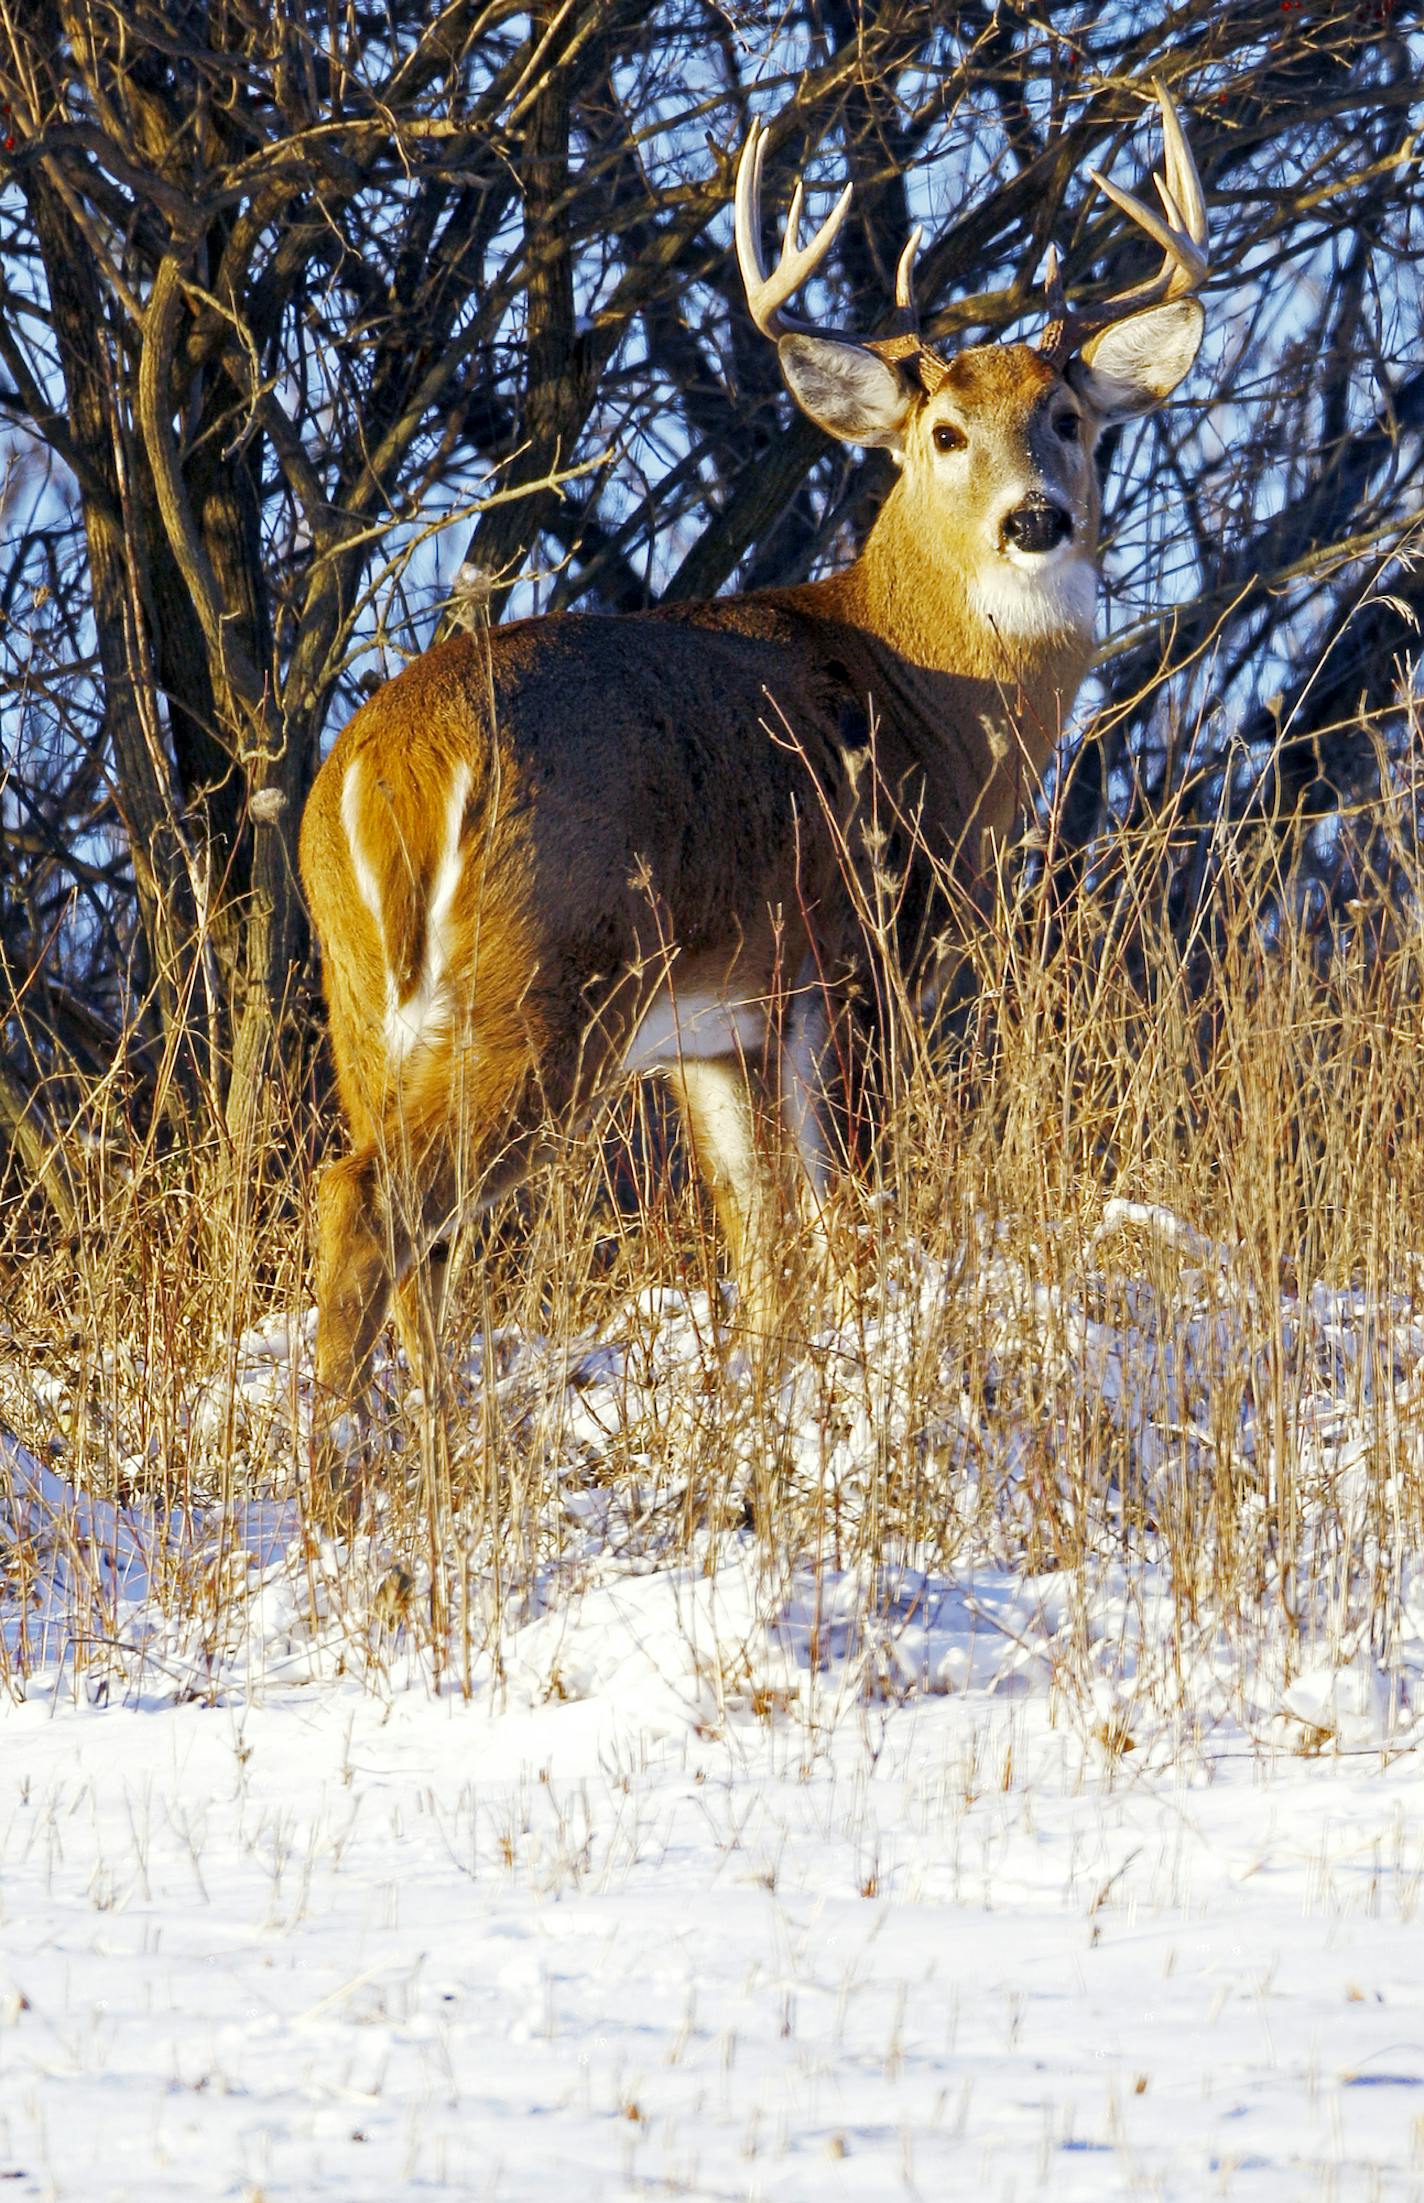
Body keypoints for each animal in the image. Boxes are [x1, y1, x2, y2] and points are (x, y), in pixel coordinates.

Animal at [301, 90, 1216, 1498]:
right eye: (942, 433)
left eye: (1068, 417)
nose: (1034, 520)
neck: (922, 691)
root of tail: (387, 770)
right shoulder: (864, 955)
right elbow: (849, 1211)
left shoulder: (716, 1026)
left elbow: (760, 1244)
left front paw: (772, 1405)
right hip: (543, 984)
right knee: (373, 1201)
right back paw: (348, 1474)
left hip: (367, 999)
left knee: (411, 1229)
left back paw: (441, 1446)